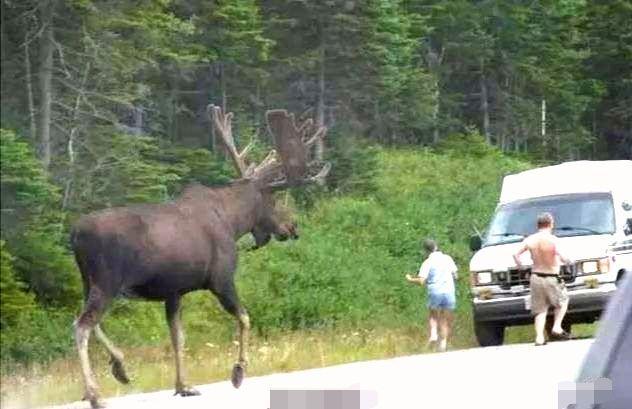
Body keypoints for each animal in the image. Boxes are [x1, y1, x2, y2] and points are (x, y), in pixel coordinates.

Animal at [72, 107, 330, 406]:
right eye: (275, 200)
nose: (292, 227)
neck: (233, 222)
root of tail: (75, 234)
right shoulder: (221, 279)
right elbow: (245, 317)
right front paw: (239, 371)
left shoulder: (173, 292)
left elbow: (178, 337)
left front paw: (183, 385)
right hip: (108, 282)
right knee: (81, 325)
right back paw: (94, 394)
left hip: (88, 281)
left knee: (87, 321)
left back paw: (119, 367)